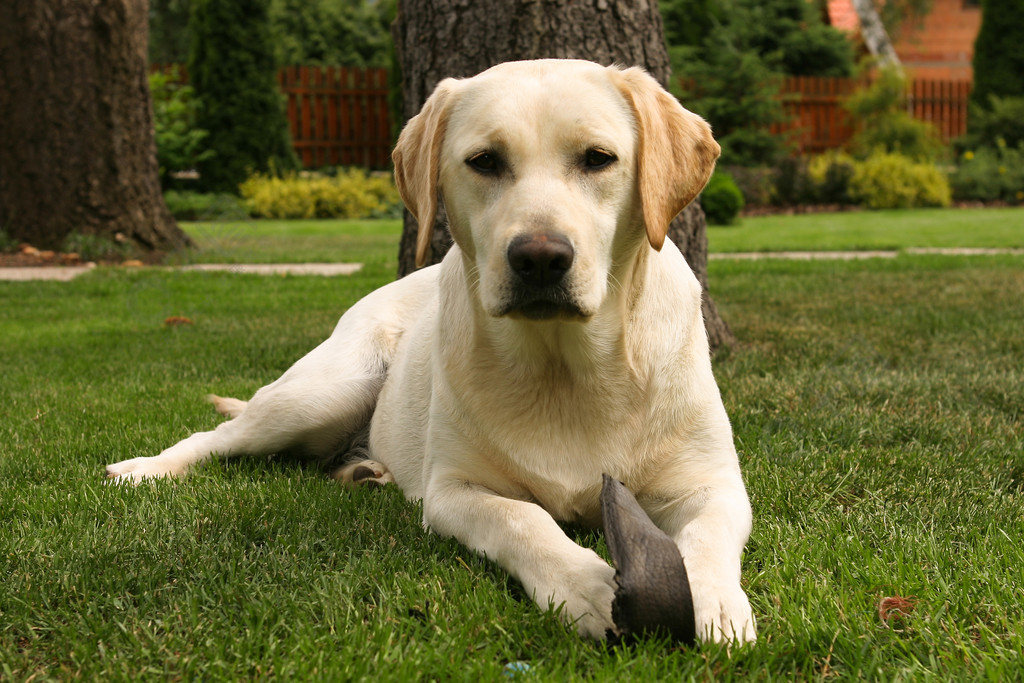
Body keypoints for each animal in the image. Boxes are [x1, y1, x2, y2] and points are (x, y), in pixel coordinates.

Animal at [108, 60, 757, 647]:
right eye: (485, 161)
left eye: (598, 158)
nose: (540, 258)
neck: (565, 369)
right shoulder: (454, 492)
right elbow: (525, 520)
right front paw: (586, 587)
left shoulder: (714, 486)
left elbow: (706, 540)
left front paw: (714, 605)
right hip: (322, 392)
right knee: (216, 437)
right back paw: (145, 469)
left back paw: (365, 470)